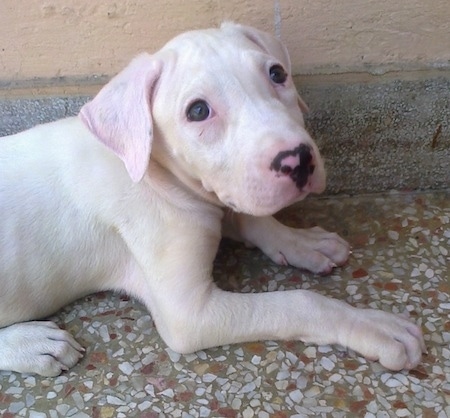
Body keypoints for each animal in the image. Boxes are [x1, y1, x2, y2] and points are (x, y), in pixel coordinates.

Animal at [0, 22, 424, 376]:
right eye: (199, 110)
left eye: (277, 74)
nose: (299, 161)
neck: (156, 174)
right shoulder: (189, 314)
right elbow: (301, 301)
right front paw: (374, 325)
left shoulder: (222, 194)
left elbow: (253, 218)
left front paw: (303, 241)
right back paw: (35, 344)